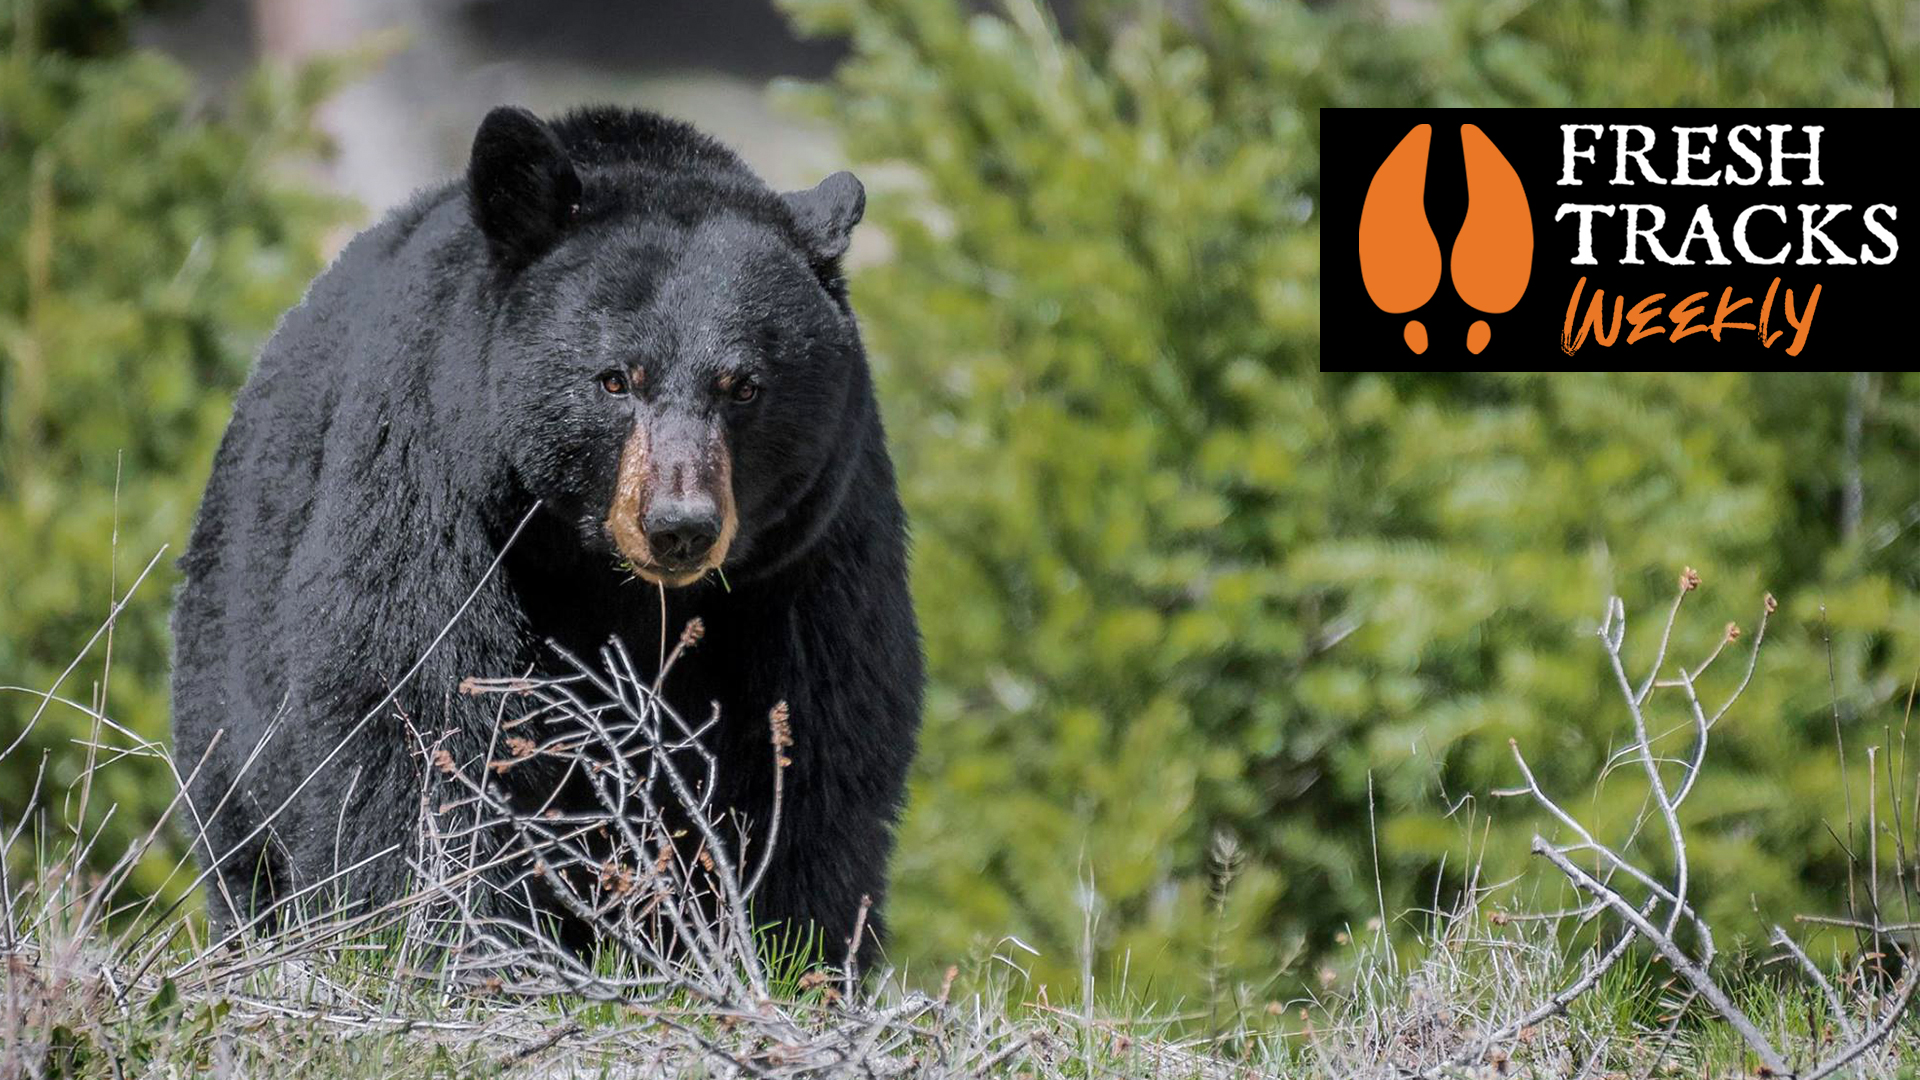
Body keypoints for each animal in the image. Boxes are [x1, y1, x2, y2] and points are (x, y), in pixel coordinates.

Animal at [169, 105, 923, 969]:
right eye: (616, 379)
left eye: (743, 386)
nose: (680, 527)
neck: (601, 573)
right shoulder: (438, 480)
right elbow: (422, 708)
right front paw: (455, 937)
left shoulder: (808, 549)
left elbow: (811, 739)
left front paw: (790, 949)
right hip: (228, 649)